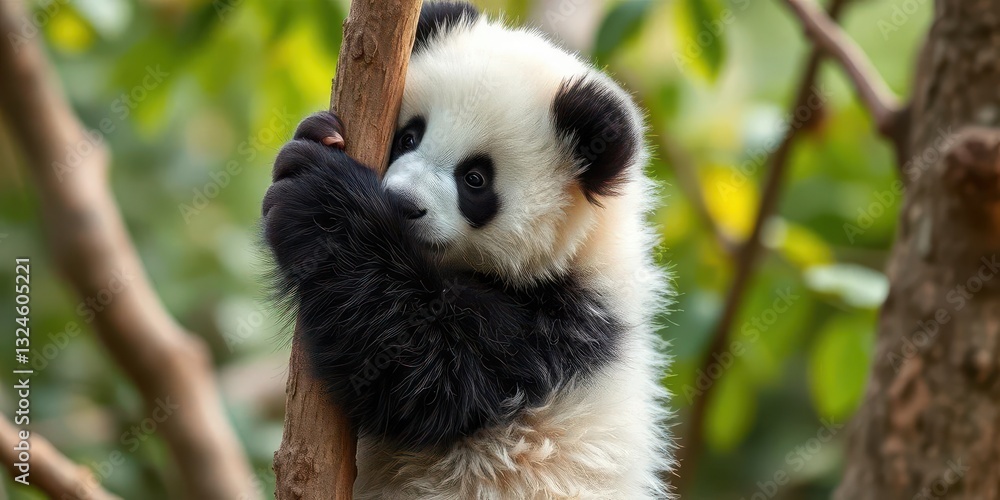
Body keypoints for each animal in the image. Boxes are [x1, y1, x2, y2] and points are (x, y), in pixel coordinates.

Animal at [262, 1, 672, 498]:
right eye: (408, 137)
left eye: (475, 179)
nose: (402, 203)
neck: (581, 247)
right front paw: (314, 136)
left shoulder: (557, 339)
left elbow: (426, 369)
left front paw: (322, 203)